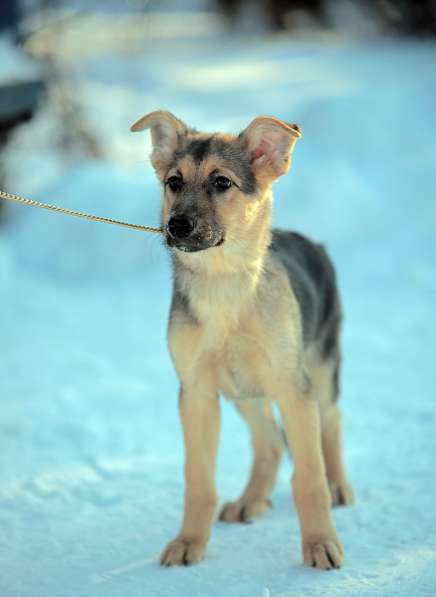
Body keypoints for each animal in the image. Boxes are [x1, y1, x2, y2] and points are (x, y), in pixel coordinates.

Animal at [130, 110, 354, 568]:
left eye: (222, 182)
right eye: (173, 181)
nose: (176, 226)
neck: (223, 285)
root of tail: (312, 242)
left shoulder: (293, 388)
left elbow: (309, 477)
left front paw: (320, 543)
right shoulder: (196, 392)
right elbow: (198, 481)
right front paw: (189, 542)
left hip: (319, 371)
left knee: (331, 421)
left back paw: (338, 484)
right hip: (243, 392)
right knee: (269, 441)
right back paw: (251, 500)